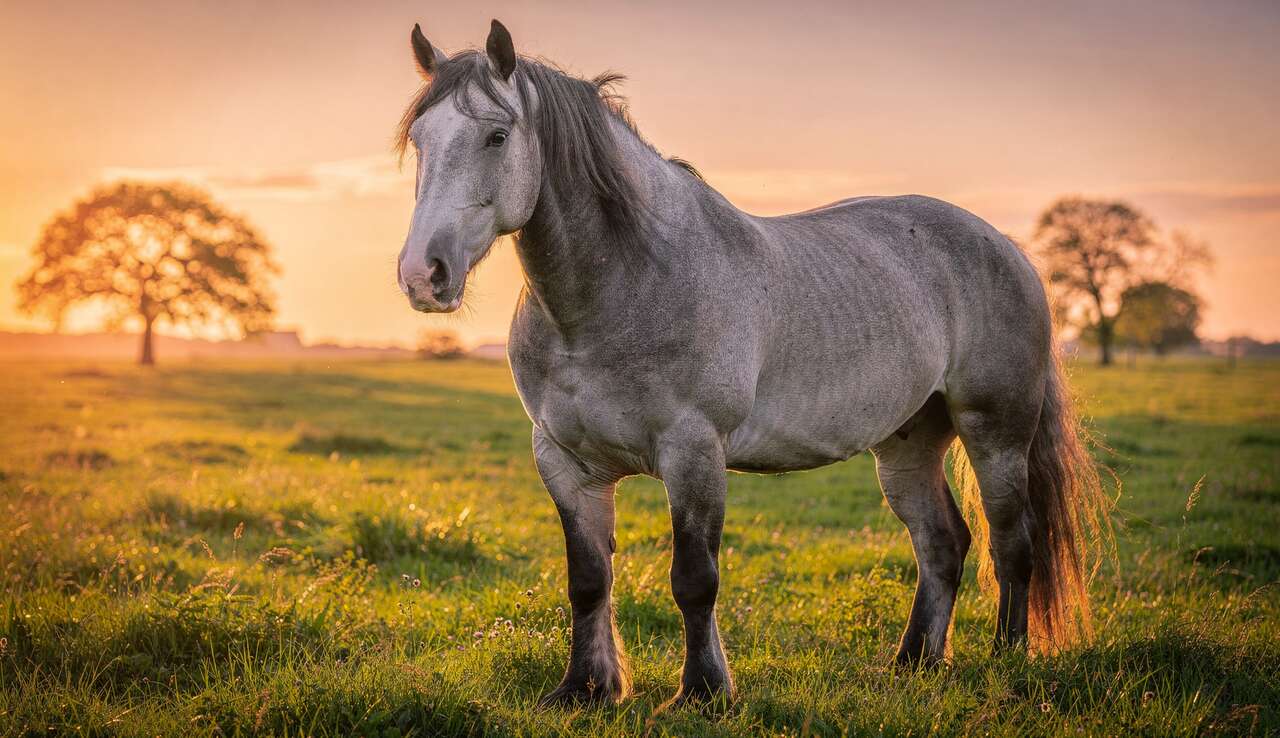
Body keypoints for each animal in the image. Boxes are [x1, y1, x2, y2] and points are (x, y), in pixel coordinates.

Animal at [394, 19, 1108, 708]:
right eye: (421, 142)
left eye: (496, 136)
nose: (424, 275)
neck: (618, 291)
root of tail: (1006, 247)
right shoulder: (565, 463)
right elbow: (588, 579)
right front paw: (586, 690)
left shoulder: (694, 453)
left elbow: (694, 579)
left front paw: (703, 692)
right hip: (908, 443)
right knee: (943, 543)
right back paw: (913, 664)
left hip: (996, 434)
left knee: (1012, 542)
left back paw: (1007, 660)